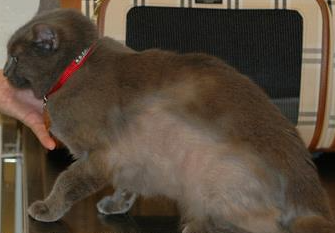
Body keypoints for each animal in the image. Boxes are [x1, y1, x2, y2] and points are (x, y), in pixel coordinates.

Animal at [3, 8, 335, 232]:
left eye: (15, 58)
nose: (4, 72)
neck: (75, 69)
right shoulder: (132, 154)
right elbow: (126, 182)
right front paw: (117, 204)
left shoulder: (103, 154)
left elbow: (67, 180)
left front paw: (47, 208)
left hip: (215, 172)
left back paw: (197, 227)